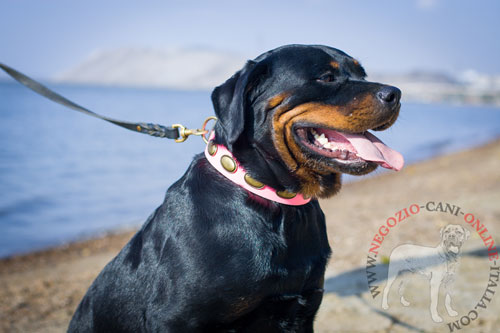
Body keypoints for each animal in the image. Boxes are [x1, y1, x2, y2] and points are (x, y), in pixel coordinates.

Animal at [68, 44, 402, 332]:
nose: (396, 93)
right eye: (326, 77)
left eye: (362, 75)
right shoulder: (173, 319)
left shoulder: (301, 311)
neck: (275, 200)